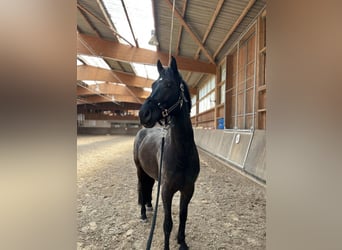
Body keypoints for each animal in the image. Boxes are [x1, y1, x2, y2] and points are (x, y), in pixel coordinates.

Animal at [132, 57, 199, 250]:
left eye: (169, 84)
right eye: (153, 84)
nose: (143, 114)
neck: (181, 154)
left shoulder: (188, 189)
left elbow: (183, 216)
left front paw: (182, 242)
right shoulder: (167, 190)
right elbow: (167, 224)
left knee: (148, 187)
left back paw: (149, 206)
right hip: (139, 170)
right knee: (141, 187)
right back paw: (143, 214)